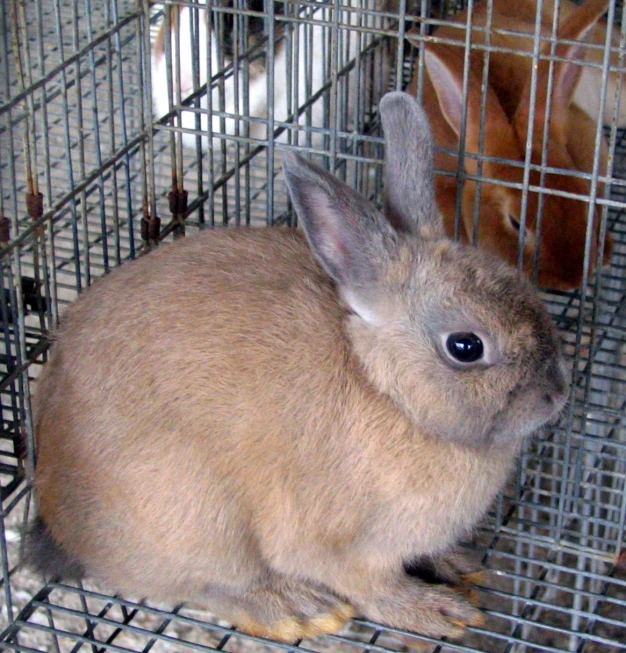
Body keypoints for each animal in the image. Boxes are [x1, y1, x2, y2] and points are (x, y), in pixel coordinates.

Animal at [25, 91, 564, 640]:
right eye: (466, 347)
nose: (556, 396)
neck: (385, 391)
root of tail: (55, 505)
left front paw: (455, 564)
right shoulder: (344, 549)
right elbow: (374, 590)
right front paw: (437, 612)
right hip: (197, 523)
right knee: (209, 585)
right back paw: (297, 609)